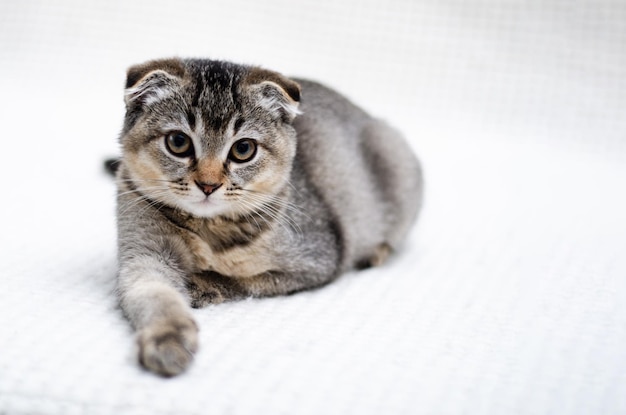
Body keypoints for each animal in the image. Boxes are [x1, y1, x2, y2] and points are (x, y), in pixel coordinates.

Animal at [114, 58, 422, 376]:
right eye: (178, 142)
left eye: (243, 149)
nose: (208, 185)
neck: (208, 228)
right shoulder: (144, 255)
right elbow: (152, 294)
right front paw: (167, 338)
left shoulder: (318, 260)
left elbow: (243, 279)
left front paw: (201, 284)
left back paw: (376, 252)